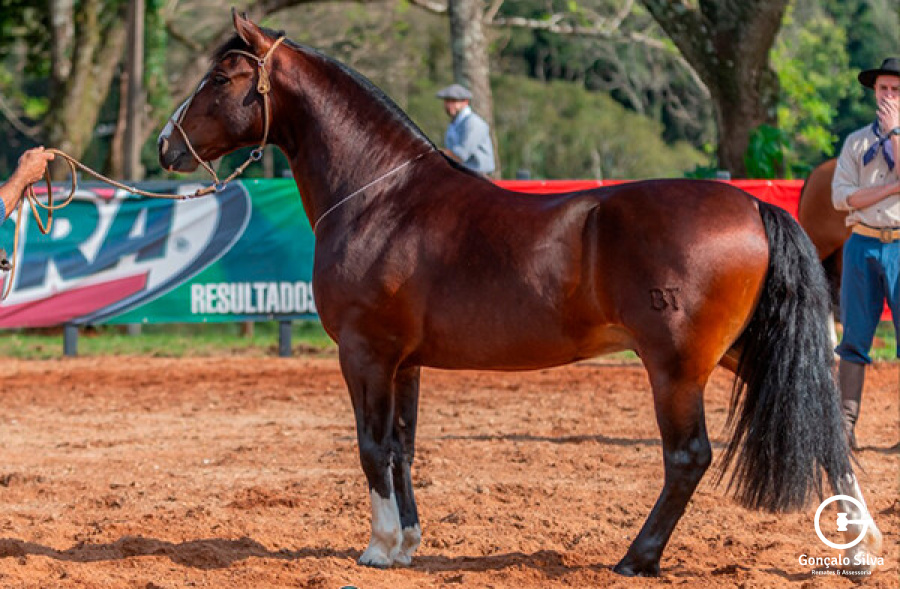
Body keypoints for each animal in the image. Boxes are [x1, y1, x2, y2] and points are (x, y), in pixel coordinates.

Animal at [158, 11, 882, 576]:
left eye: (222, 77)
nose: (166, 145)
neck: (379, 198)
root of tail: (753, 205)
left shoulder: (365, 354)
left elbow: (371, 446)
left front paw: (379, 547)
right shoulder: (405, 362)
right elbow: (402, 448)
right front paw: (407, 544)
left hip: (677, 367)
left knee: (688, 457)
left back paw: (637, 557)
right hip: (741, 352)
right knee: (826, 429)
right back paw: (860, 545)